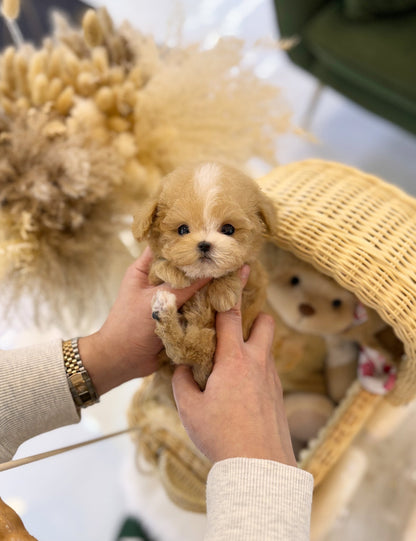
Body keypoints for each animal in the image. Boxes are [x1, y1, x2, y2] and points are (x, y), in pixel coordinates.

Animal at [133, 161, 276, 388]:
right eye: (183, 230)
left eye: (228, 229)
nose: (204, 244)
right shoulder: (151, 276)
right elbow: (158, 266)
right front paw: (174, 273)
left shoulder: (255, 280)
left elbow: (239, 269)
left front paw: (223, 291)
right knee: (184, 352)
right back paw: (164, 311)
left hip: (207, 343)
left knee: (189, 351)